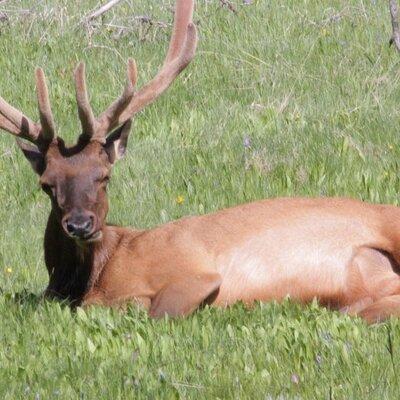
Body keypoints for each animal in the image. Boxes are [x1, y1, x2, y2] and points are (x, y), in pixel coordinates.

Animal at [0, 0, 400, 324]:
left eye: (104, 176)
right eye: (47, 184)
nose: (81, 224)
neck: (96, 273)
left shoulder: (193, 273)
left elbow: (153, 310)